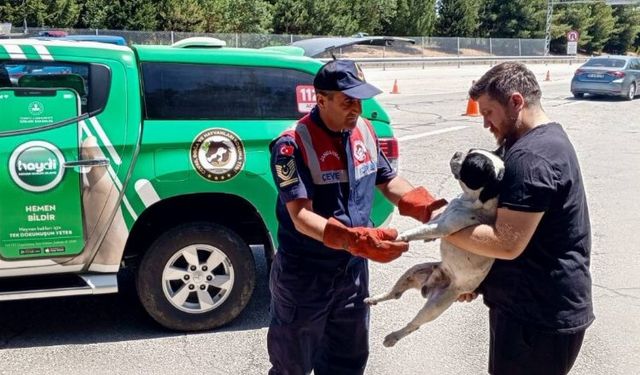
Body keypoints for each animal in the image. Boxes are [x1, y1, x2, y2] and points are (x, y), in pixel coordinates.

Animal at [364, 148, 504, 348]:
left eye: (470, 163)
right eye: (470, 151)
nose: (457, 153)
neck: (471, 200)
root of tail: (428, 287)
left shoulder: (443, 227)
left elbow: (419, 230)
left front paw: (398, 236)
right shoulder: (440, 218)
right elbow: (429, 223)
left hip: (435, 306)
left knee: (414, 325)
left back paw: (393, 337)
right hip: (413, 271)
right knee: (395, 293)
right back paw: (375, 298)